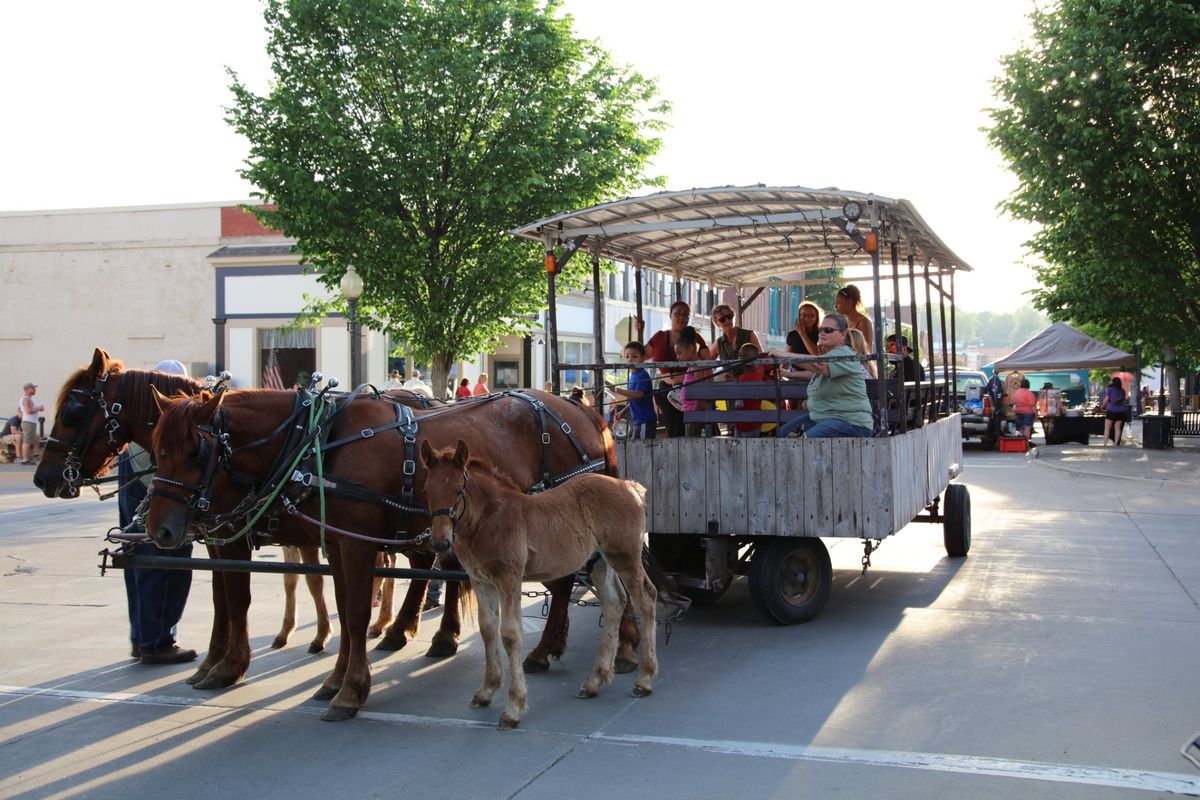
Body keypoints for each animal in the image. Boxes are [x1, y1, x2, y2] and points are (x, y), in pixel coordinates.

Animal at [417, 438, 652, 734]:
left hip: (625, 557)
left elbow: (510, 635)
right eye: (427, 490)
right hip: (599, 561)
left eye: (459, 489)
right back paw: (594, 681)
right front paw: (486, 690)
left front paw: (513, 708)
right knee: (614, 603)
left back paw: (644, 680)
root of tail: (630, 486)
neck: (489, 519)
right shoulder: (481, 581)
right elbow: (487, 630)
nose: (439, 543)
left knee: (646, 602)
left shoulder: (509, 578)